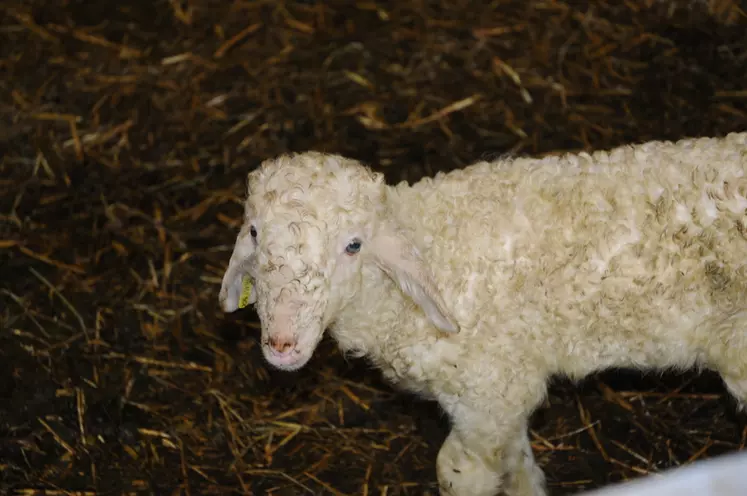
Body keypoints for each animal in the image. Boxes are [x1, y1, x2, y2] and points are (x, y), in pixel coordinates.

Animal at [221, 133, 747, 496]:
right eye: (254, 233)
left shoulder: (488, 394)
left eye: (353, 245)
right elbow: (517, 464)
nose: (282, 344)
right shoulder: (505, 399)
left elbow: (458, 473)